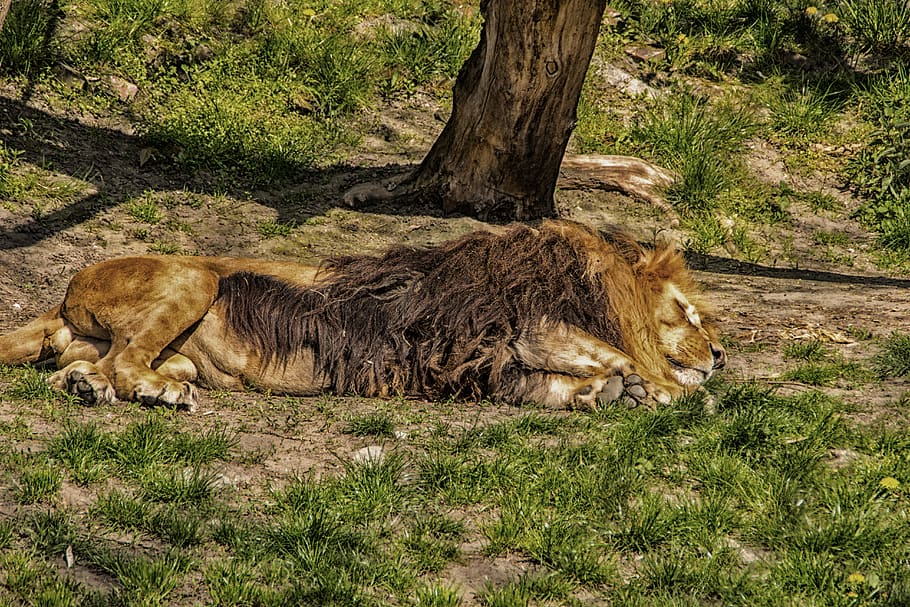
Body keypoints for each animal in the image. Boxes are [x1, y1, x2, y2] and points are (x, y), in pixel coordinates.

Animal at [0, 220, 724, 411]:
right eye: (686, 312)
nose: (722, 355)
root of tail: (64, 292)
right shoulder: (525, 322)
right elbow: (622, 353)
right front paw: (662, 389)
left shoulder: (493, 361)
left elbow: (556, 384)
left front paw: (605, 393)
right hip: (196, 276)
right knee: (128, 360)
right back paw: (150, 391)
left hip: (164, 339)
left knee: (95, 362)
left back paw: (88, 385)